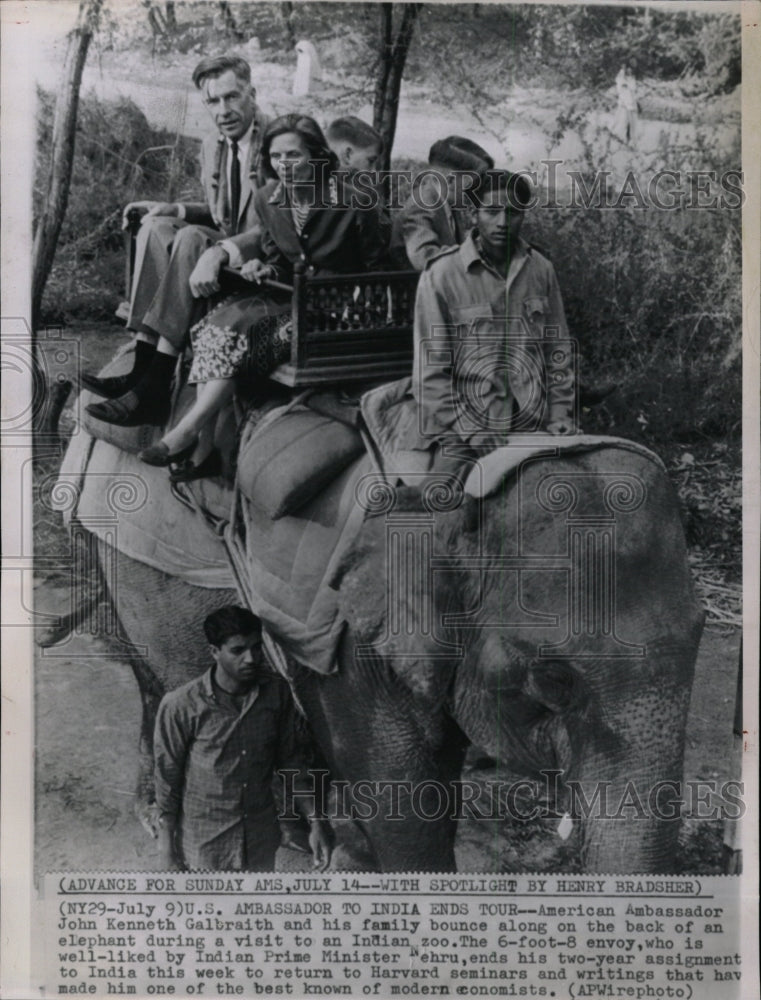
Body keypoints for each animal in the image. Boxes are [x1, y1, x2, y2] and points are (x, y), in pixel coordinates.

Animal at [46, 424, 700, 876]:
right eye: (553, 680)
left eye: (698, 648)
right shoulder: (354, 639)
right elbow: (404, 801)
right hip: (130, 568)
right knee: (165, 685)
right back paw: (163, 821)